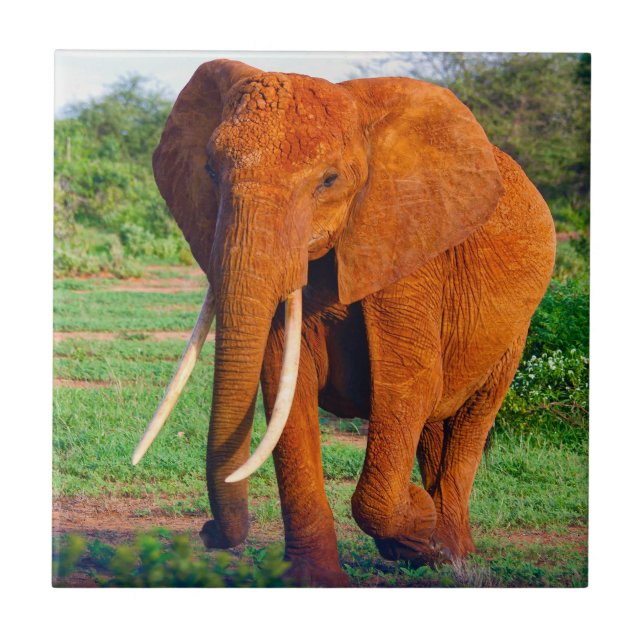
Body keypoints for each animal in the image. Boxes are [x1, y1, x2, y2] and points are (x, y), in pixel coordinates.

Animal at [132, 59, 556, 587]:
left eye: (329, 181)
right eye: (210, 169)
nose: (208, 532)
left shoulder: (408, 247)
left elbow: (409, 384)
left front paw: (416, 525)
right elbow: (286, 386)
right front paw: (317, 580)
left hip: (516, 329)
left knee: (471, 417)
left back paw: (452, 556)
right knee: (436, 424)